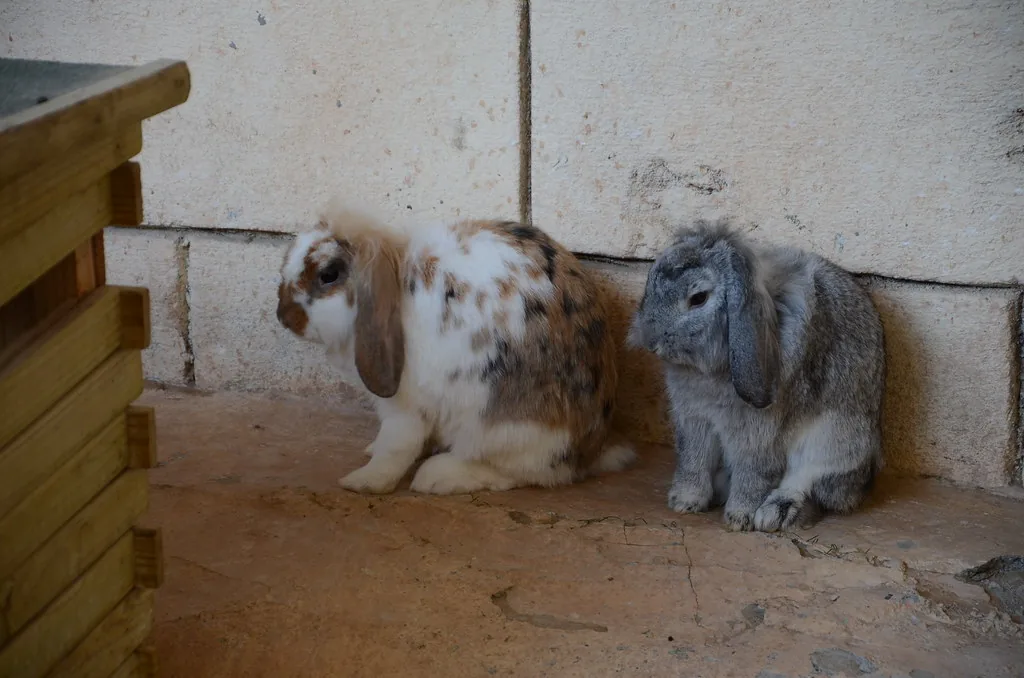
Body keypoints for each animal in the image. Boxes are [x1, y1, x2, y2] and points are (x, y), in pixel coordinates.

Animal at [276, 201, 635, 495]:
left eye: (328, 274)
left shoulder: (405, 408)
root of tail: (592, 448)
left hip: (505, 429)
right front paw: (370, 451)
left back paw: (438, 476)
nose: (284, 317)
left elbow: (396, 446)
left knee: (525, 473)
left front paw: (364, 481)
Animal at [629, 219, 885, 532]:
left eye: (698, 298)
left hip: (833, 444)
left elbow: (753, 472)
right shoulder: (694, 420)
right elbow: (694, 459)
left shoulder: (757, 433)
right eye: (651, 278)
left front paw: (741, 518)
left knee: (813, 486)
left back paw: (774, 514)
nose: (651, 340)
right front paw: (684, 502)